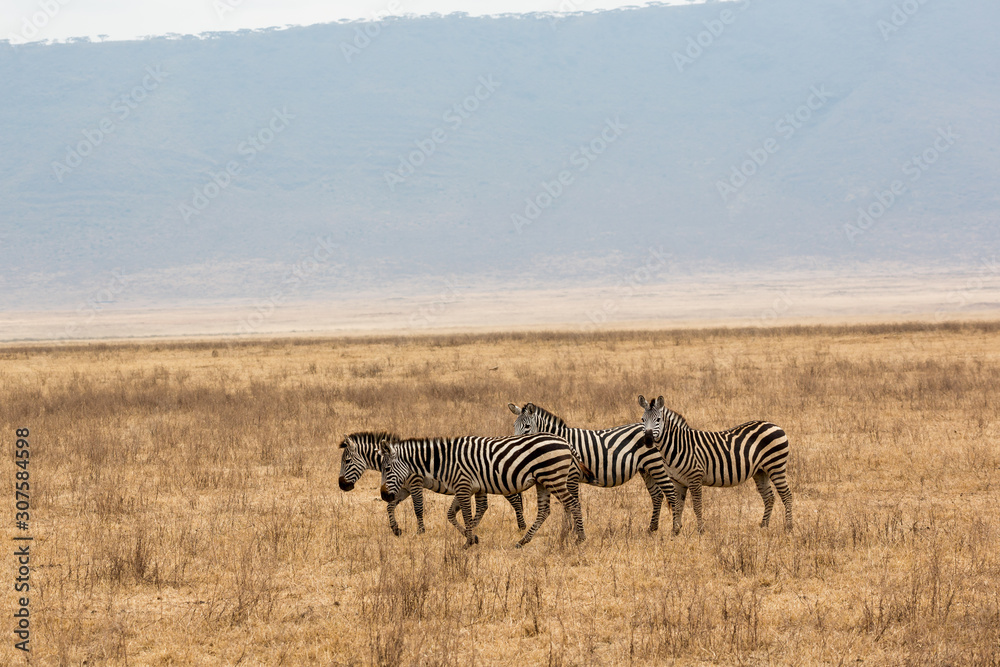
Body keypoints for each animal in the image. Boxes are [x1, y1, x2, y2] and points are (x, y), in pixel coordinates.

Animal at [338, 432, 528, 535]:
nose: (341, 485)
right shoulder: (404, 489)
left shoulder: (415, 484)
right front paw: (396, 529)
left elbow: (418, 508)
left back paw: (522, 526)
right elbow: (390, 506)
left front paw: (420, 531)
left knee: (515, 500)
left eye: (346, 461)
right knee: (484, 506)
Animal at [377, 433, 588, 548]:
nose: (384, 495)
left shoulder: (463, 486)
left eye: (387, 469)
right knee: (545, 510)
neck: (444, 462)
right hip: (543, 481)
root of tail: (565, 441)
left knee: (573, 503)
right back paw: (523, 541)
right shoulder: (467, 488)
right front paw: (473, 538)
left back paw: (580, 538)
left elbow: (466, 515)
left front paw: (468, 542)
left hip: (552, 477)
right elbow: (453, 515)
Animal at [508, 403, 678, 533]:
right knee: (657, 495)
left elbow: (571, 503)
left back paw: (675, 528)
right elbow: (567, 504)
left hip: (655, 464)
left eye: (527, 426)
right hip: (646, 469)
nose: (517, 449)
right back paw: (652, 528)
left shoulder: (571, 476)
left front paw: (571, 530)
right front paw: (570, 529)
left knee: (670, 490)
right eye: (514, 425)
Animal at [638, 395, 793, 534]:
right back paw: (764, 526)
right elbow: (678, 506)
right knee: (769, 497)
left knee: (786, 495)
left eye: (658, 419)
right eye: (642, 420)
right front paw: (675, 531)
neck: (677, 445)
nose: (648, 440)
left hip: (775, 466)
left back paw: (788, 528)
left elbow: (697, 506)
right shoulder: (678, 482)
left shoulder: (695, 478)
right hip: (761, 471)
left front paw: (700, 530)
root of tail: (774, 425)